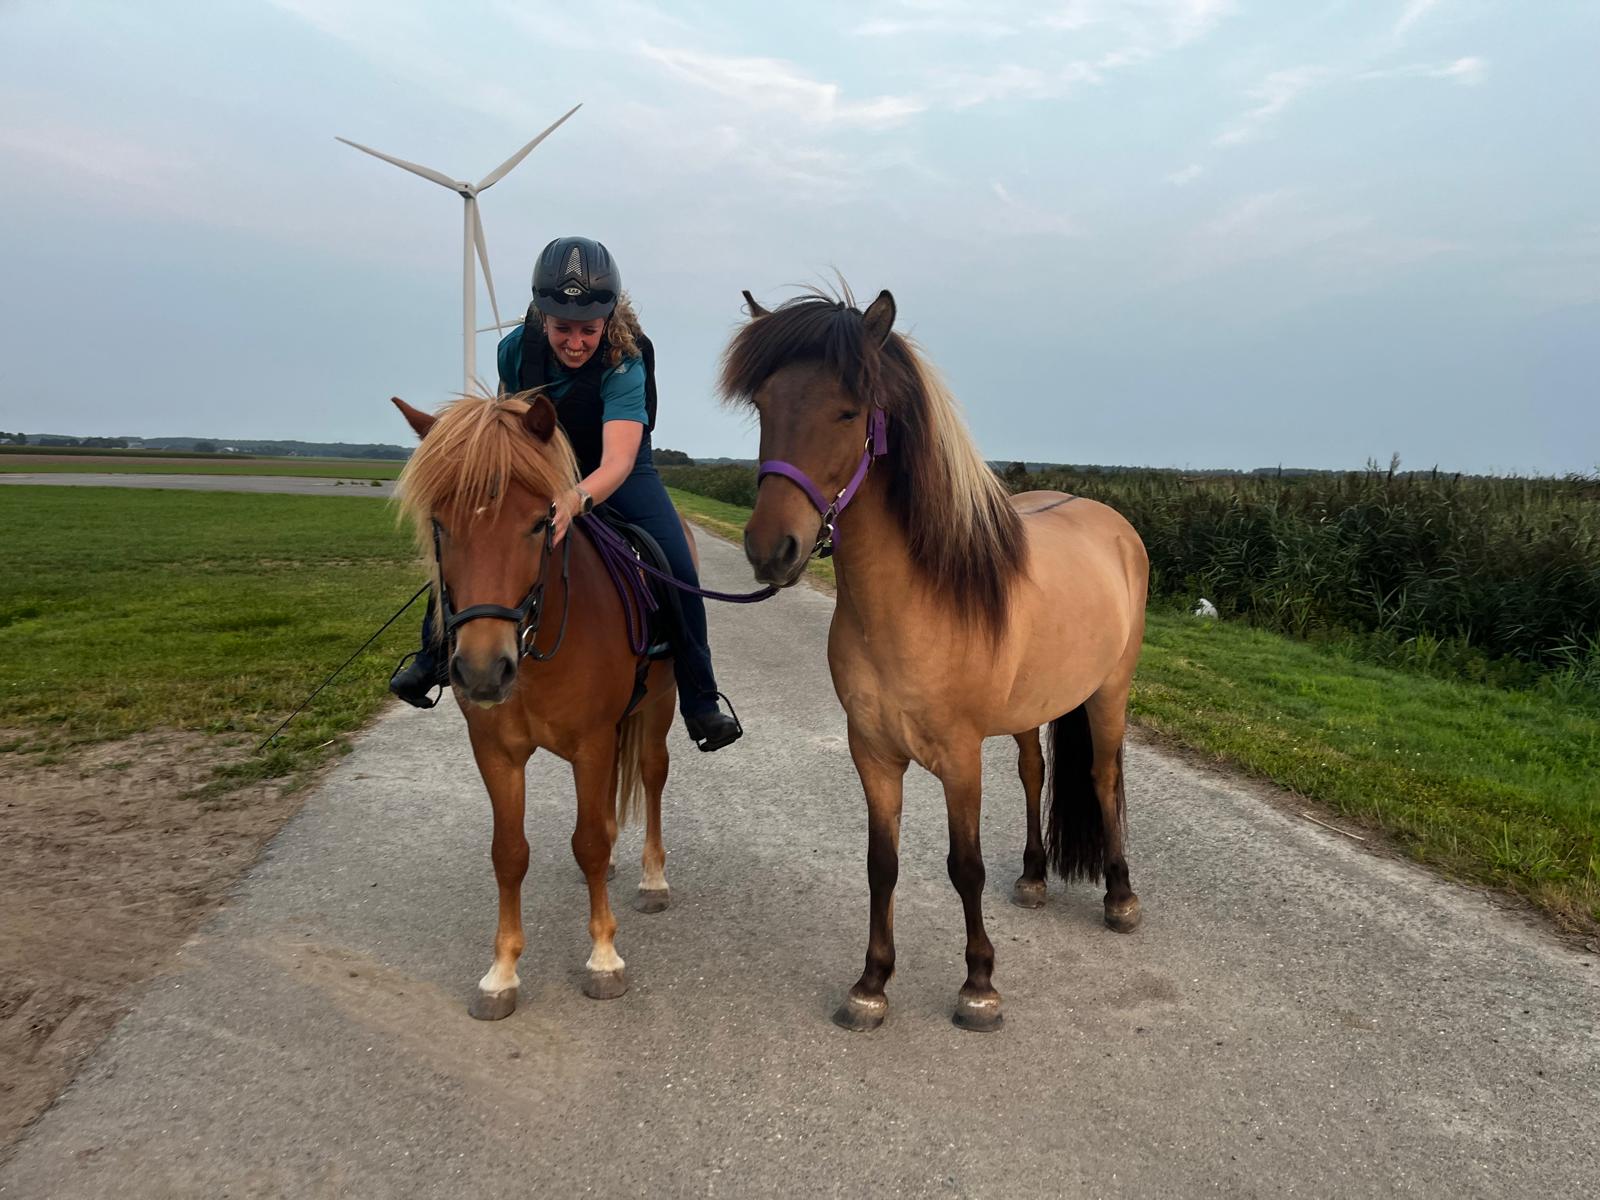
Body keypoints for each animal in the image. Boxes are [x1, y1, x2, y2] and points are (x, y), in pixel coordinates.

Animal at [396, 395, 684, 1024]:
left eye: (537, 523)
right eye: (440, 524)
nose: (483, 669)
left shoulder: (593, 743)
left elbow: (589, 843)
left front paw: (603, 958)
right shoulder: (495, 752)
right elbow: (509, 853)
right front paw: (501, 972)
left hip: (659, 707)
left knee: (652, 774)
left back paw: (653, 878)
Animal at [726, 289, 1152, 1036]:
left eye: (848, 409)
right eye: (764, 405)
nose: (771, 550)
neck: (914, 603)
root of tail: (1113, 524)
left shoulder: (958, 756)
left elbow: (965, 866)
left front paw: (979, 986)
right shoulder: (871, 751)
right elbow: (881, 864)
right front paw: (871, 983)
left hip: (1108, 695)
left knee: (1102, 779)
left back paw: (1120, 897)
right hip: (1029, 712)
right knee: (1035, 772)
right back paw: (1035, 877)